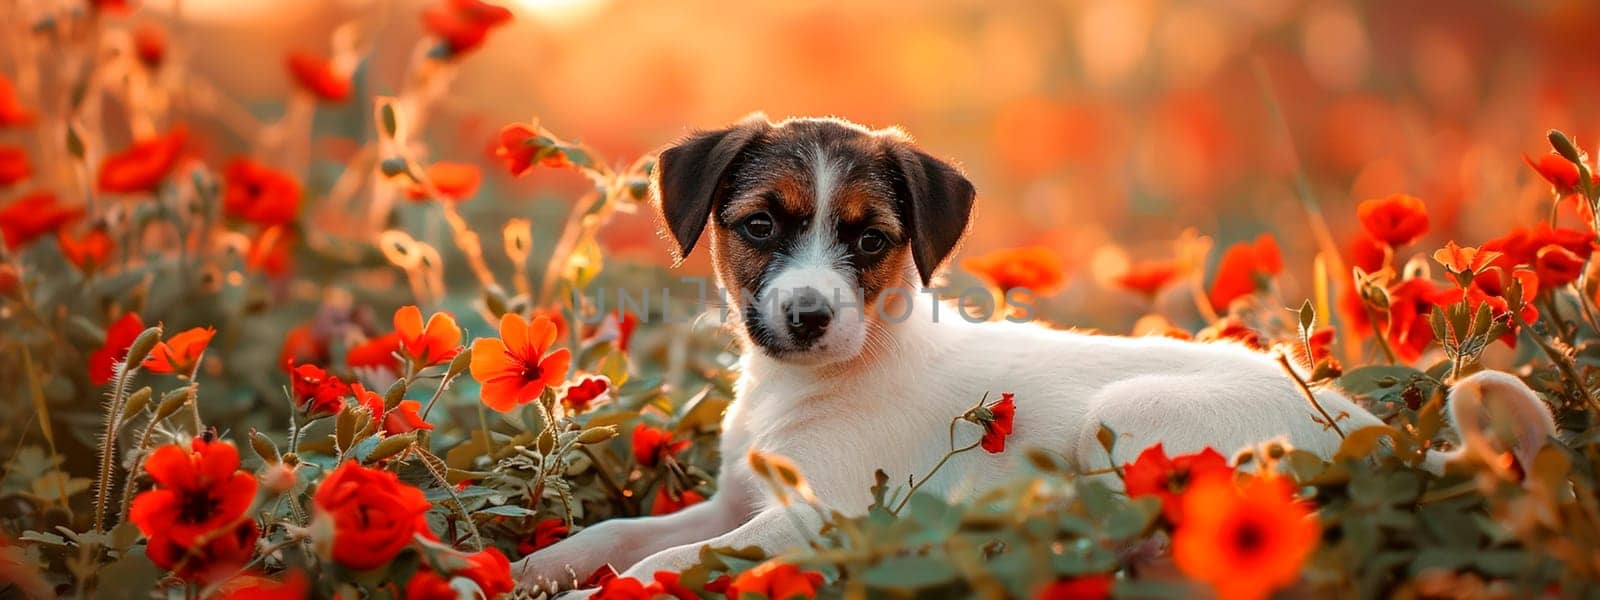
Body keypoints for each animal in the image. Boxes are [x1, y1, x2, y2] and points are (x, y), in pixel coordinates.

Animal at [518, 113, 1555, 592]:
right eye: (761, 225)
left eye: (869, 240)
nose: (808, 316)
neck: (814, 381)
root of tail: (1374, 440)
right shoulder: (741, 499)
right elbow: (623, 535)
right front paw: (525, 570)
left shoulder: (818, 520)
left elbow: (667, 564)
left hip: (1130, 420)